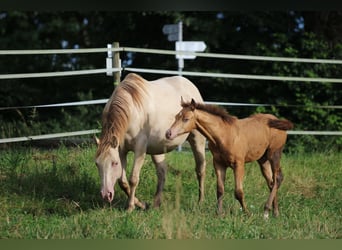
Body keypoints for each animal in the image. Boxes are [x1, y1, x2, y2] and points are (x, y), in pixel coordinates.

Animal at [94, 72, 206, 211]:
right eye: (97, 164)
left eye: (114, 163)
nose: (106, 195)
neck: (132, 111)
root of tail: (190, 85)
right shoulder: (122, 150)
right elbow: (122, 181)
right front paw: (141, 204)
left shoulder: (140, 149)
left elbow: (133, 179)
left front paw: (130, 207)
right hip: (158, 149)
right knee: (162, 172)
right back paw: (156, 203)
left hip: (197, 140)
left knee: (200, 169)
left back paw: (201, 201)